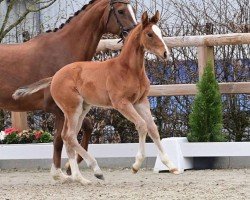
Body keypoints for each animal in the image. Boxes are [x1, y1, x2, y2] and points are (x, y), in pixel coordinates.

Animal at [13, 10, 180, 183]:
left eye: (160, 32)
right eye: (149, 34)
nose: (165, 53)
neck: (129, 70)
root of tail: (54, 76)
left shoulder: (141, 102)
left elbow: (153, 129)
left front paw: (171, 165)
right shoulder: (122, 103)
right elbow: (142, 125)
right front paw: (136, 165)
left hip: (82, 109)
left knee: (68, 137)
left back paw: (79, 177)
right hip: (73, 109)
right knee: (69, 136)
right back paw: (94, 171)